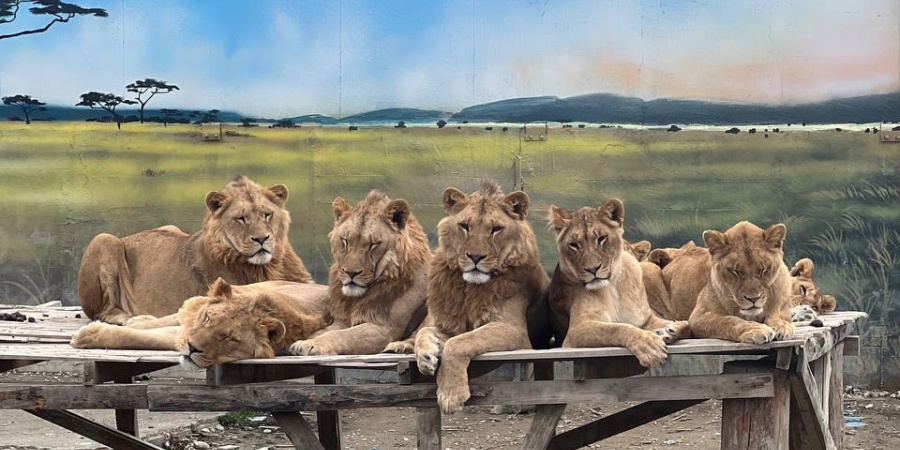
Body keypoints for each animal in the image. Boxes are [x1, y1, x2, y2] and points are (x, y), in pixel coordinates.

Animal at [71, 279, 329, 368]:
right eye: (208, 318)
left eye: (229, 338)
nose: (192, 348)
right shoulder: (189, 327)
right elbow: (144, 332)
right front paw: (87, 334)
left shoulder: (181, 335)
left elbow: (143, 337)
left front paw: (87, 335)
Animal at [77, 176, 312, 325]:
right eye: (241, 218)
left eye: (267, 214)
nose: (262, 238)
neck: (269, 265)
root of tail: (126, 237)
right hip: (104, 239)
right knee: (101, 312)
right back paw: (130, 317)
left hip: (170, 227)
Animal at [287, 190, 431, 356]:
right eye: (345, 240)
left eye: (373, 244)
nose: (351, 273)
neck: (355, 300)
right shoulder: (341, 321)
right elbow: (323, 332)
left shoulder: (384, 328)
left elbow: (341, 335)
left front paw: (310, 344)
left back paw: (399, 347)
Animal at [414, 181, 552, 414]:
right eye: (464, 226)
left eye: (496, 229)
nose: (476, 257)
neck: (469, 288)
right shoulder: (450, 325)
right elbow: (425, 332)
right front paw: (425, 356)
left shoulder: (513, 329)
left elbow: (458, 343)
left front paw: (450, 395)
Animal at [547, 199, 690, 368]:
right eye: (574, 244)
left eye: (601, 238)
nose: (592, 269)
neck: (613, 287)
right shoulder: (576, 330)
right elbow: (615, 328)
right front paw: (649, 345)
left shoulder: (646, 319)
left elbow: (688, 325)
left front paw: (671, 330)